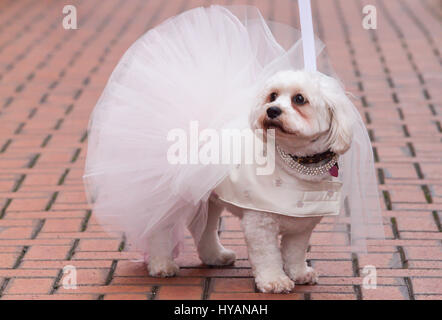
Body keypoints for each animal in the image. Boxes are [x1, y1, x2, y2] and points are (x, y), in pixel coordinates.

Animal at [147, 70, 354, 292]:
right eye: (272, 96)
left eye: (299, 99)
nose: (272, 110)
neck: (294, 163)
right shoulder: (259, 224)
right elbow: (268, 256)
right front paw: (275, 280)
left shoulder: (302, 226)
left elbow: (295, 252)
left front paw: (299, 273)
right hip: (168, 198)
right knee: (158, 230)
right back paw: (161, 264)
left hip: (207, 198)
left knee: (204, 228)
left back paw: (215, 256)